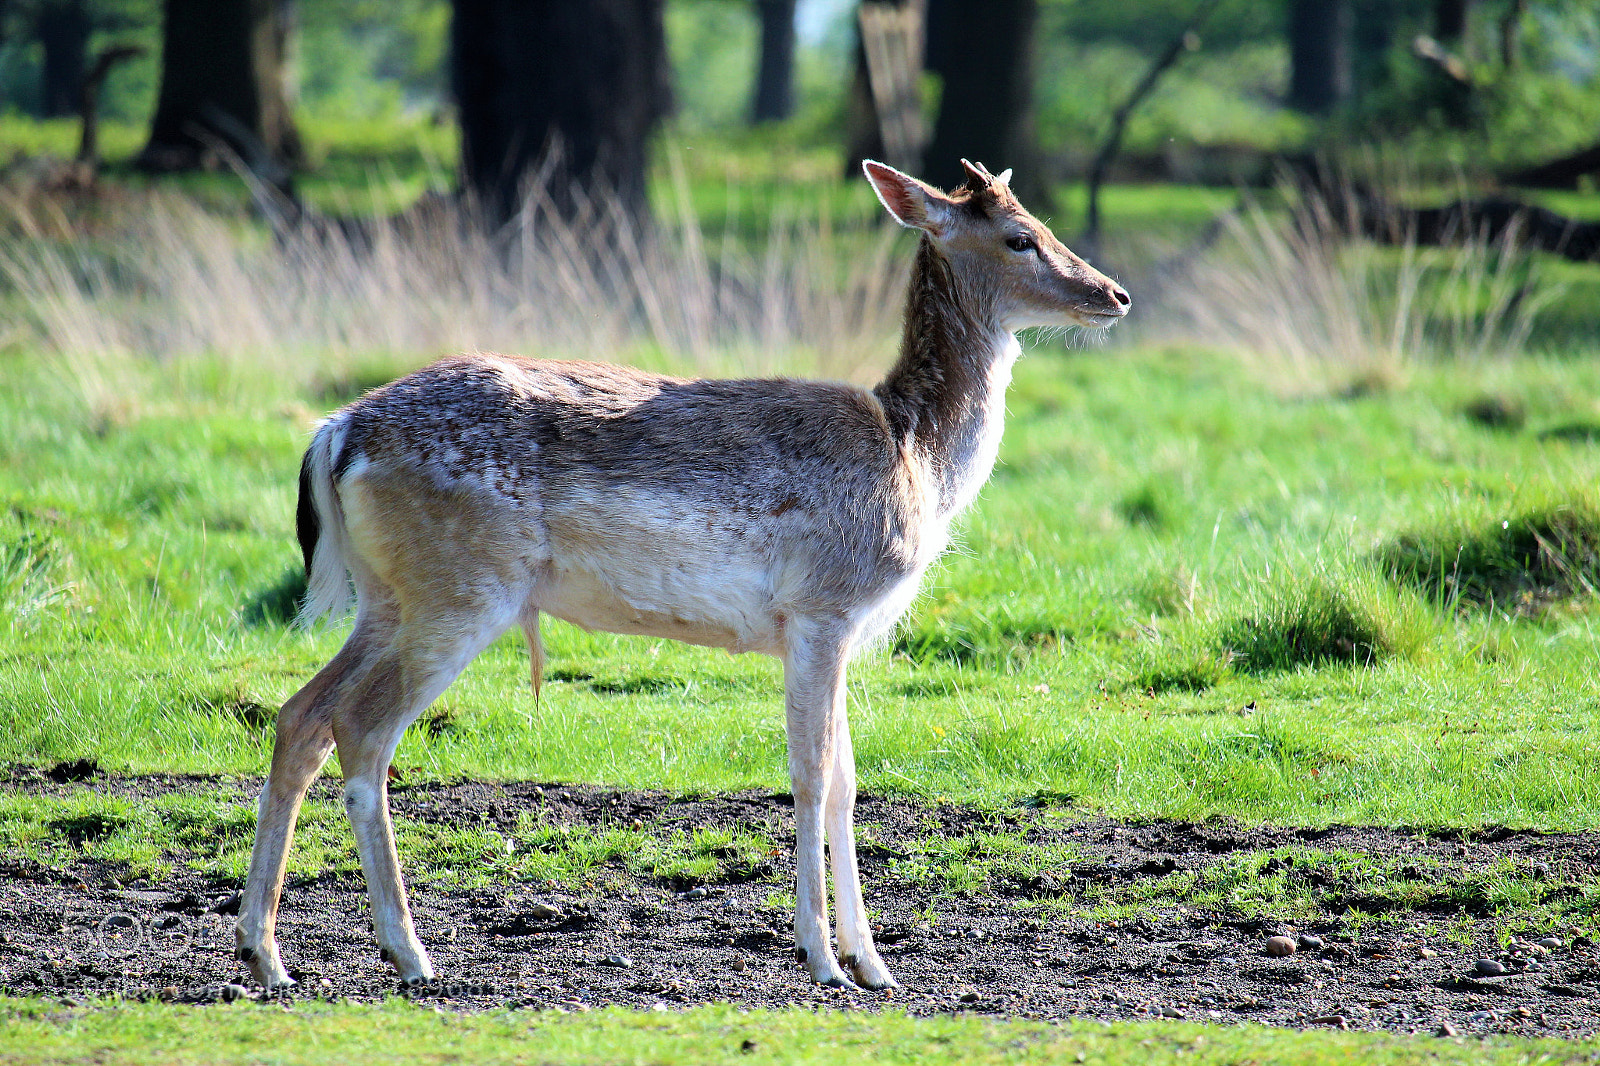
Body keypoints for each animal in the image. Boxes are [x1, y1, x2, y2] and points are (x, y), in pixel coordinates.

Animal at [234, 159, 1130, 993]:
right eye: (1020, 236)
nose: (1114, 294)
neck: (918, 462)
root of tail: (335, 431)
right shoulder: (823, 610)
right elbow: (810, 779)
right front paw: (823, 962)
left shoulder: (837, 630)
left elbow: (847, 783)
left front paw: (875, 965)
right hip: (462, 590)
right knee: (362, 726)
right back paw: (409, 954)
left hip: (388, 596)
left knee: (300, 714)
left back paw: (266, 954)